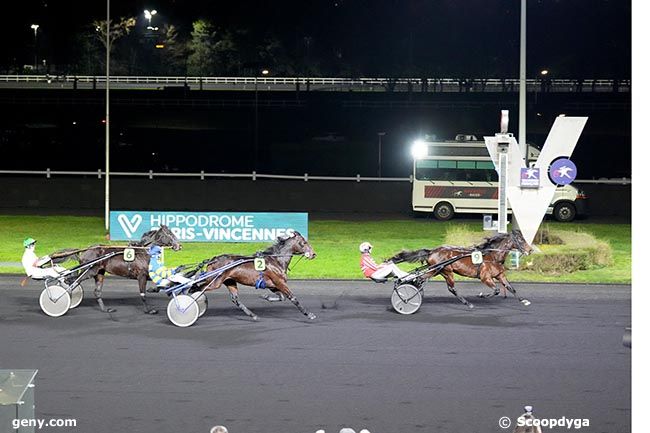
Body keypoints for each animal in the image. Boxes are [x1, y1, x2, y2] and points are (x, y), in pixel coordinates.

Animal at [390, 230, 532, 308]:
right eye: (520, 240)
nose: (530, 250)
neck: (492, 255)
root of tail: (432, 251)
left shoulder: (500, 275)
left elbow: (511, 288)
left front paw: (524, 301)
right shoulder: (485, 277)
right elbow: (496, 290)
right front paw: (482, 295)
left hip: (437, 271)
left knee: (420, 280)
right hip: (444, 271)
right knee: (449, 287)